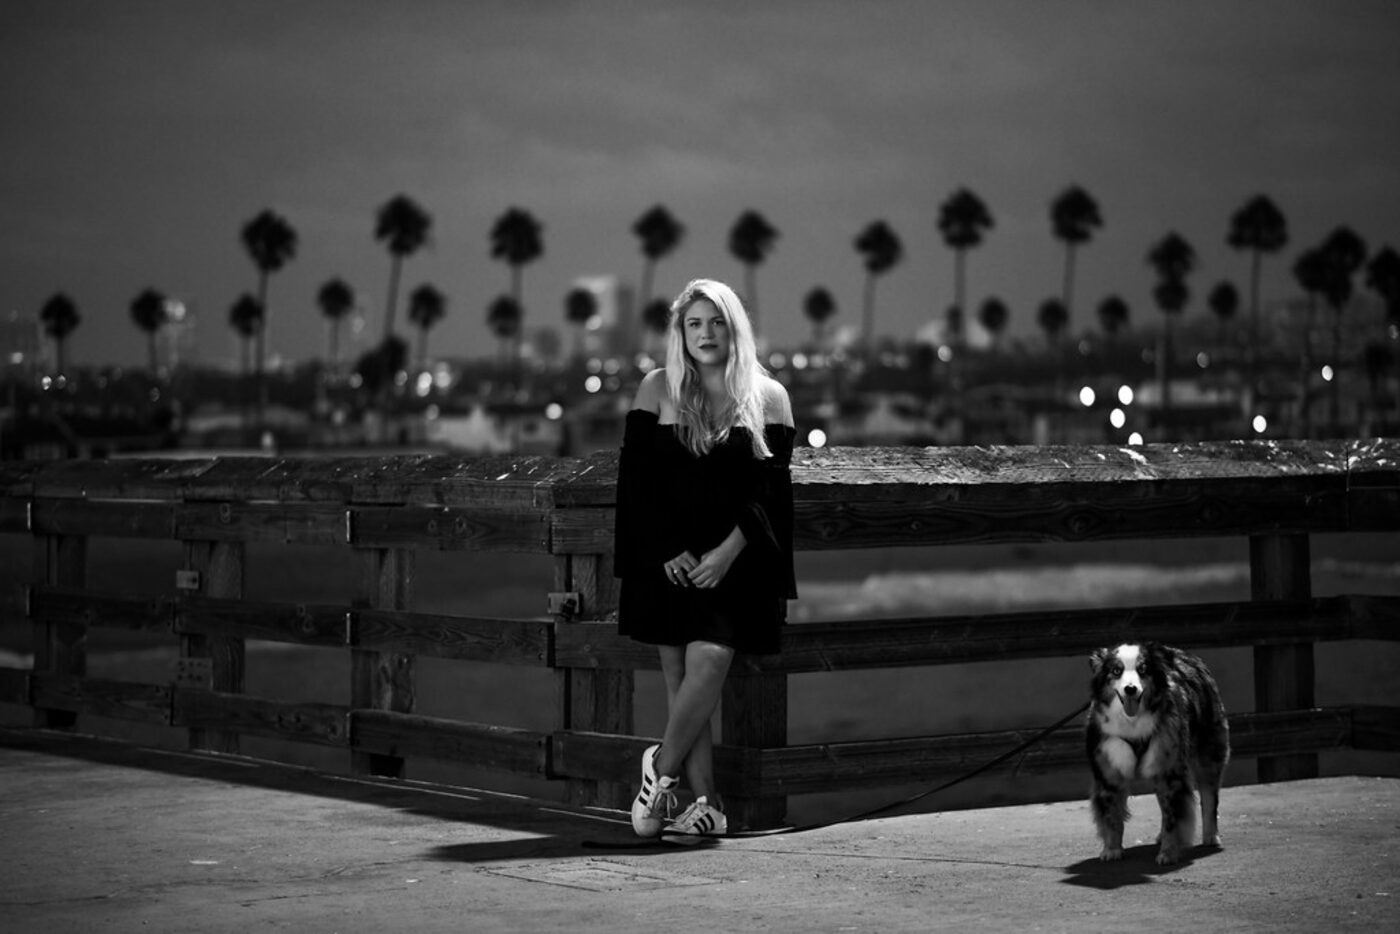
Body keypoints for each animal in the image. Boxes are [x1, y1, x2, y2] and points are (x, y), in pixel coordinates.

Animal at [1086, 638, 1232, 868]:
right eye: (1116, 671)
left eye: (1143, 669)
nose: (1130, 689)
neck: (1132, 722)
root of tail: (1187, 655)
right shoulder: (1108, 773)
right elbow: (1112, 816)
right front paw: (1112, 849)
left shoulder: (1170, 771)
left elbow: (1173, 817)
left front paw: (1169, 852)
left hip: (1209, 755)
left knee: (1209, 798)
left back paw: (1211, 836)